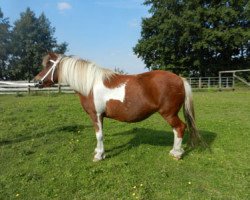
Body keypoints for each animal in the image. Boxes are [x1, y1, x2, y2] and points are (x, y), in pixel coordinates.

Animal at [34, 52, 203, 161]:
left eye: (49, 65)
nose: (36, 81)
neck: (90, 85)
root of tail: (180, 79)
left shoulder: (95, 115)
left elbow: (99, 135)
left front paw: (99, 156)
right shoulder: (100, 116)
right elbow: (100, 134)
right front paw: (99, 151)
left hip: (169, 113)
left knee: (180, 128)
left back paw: (177, 154)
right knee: (176, 129)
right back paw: (175, 151)